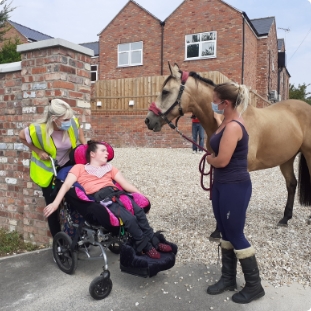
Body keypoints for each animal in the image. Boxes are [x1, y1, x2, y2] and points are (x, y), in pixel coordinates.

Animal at [145, 62, 311, 234]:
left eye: (165, 92)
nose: (148, 120)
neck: (226, 121)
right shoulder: (217, 164)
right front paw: (219, 229)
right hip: (287, 158)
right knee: (291, 184)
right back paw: (285, 218)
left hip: (307, 153)